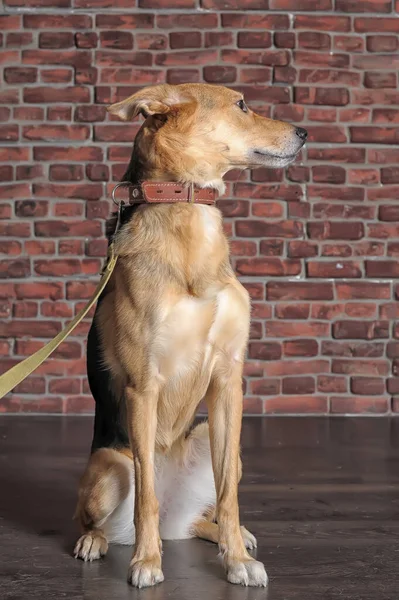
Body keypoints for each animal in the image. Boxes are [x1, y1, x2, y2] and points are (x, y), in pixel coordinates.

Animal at [73, 82, 308, 588]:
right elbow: (146, 496)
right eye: (242, 105)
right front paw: (146, 563)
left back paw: (224, 534)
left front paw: (236, 558)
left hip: (212, 442)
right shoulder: (143, 386)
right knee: (111, 513)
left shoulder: (228, 379)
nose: (304, 131)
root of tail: (174, 522)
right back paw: (99, 541)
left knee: (208, 505)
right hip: (109, 467)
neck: (188, 208)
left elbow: (228, 495)